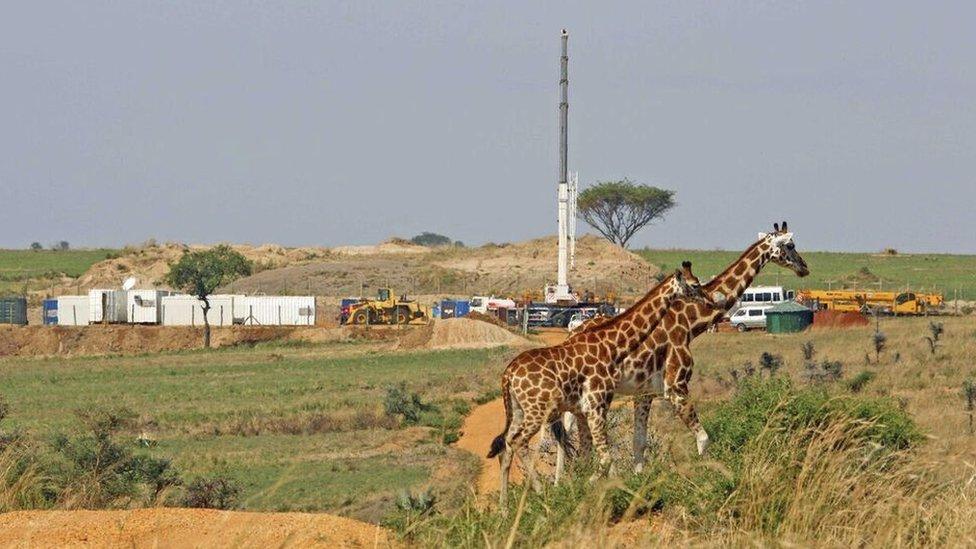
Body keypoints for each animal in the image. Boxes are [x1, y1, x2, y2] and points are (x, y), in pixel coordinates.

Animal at [486, 262, 708, 506]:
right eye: (695, 284)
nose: (708, 301)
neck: (611, 346)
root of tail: (508, 374)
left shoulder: (585, 410)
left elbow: (592, 456)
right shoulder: (597, 405)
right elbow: (605, 457)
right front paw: (607, 491)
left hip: (518, 410)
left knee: (506, 444)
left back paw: (505, 507)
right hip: (537, 411)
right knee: (518, 442)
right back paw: (540, 493)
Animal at [552, 222, 812, 476]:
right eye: (790, 245)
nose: (805, 268)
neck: (689, 323)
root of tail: (570, 333)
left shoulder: (645, 391)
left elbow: (639, 442)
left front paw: (637, 481)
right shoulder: (675, 387)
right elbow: (703, 439)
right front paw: (704, 479)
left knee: (566, 430)